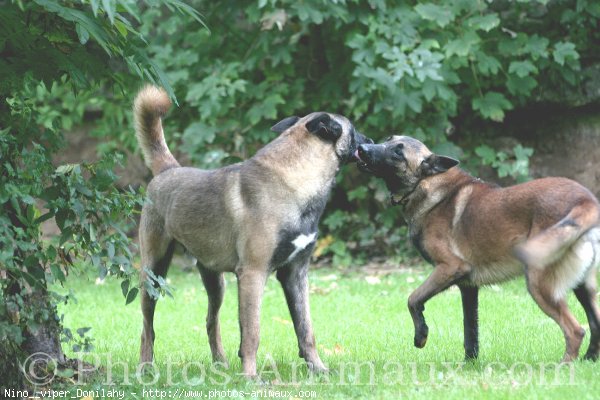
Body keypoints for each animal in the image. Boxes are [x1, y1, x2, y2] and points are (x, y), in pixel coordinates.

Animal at [134, 86, 372, 376]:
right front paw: (249, 376)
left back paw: (221, 365)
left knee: (211, 321)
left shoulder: (295, 275)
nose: (370, 142)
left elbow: (306, 329)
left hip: (215, 282)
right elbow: (252, 332)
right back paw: (145, 369)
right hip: (153, 274)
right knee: (147, 328)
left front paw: (318, 369)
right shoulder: (253, 274)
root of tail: (168, 170)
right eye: (355, 131)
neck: (293, 177)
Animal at [356, 135, 600, 362]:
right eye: (387, 140)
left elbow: (413, 299)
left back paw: (564, 366)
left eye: (398, 153)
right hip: (582, 285)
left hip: (539, 283)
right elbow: (470, 332)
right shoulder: (468, 287)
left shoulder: (451, 267)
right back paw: (587, 361)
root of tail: (585, 201)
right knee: (594, 323)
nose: (362, 148)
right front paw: (469, 366)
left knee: (575, 330)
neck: (427, 184)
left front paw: (421, 335)